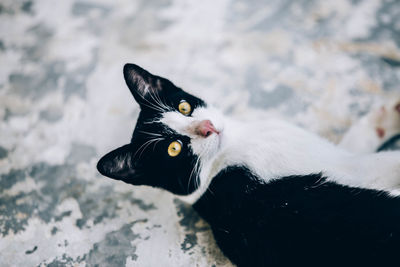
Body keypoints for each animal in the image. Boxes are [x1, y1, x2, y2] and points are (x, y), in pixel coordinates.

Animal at [97, 63, 400, 266]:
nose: (207, 127)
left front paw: (385, 120)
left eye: (184, 107)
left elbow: (357, 140)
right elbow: (377, 160)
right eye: (174, 149)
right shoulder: (344, 164)